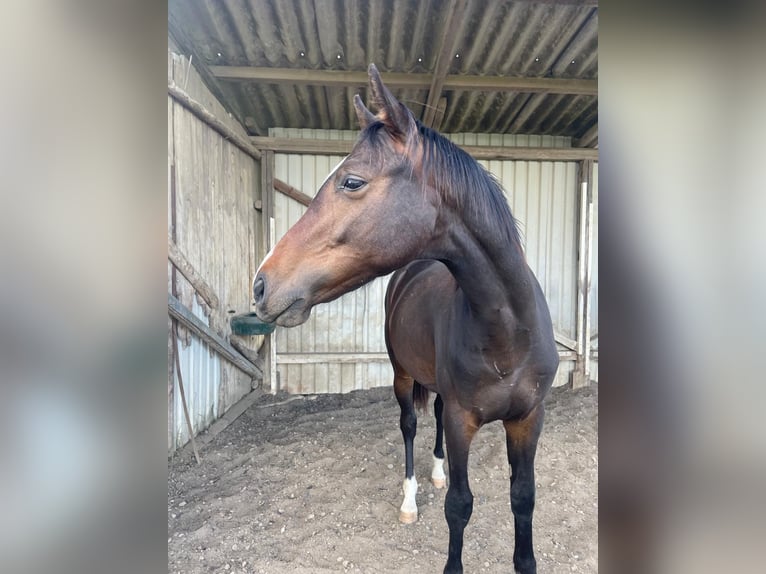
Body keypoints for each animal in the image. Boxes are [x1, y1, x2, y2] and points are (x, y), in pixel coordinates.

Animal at [255, 64, 560, 574]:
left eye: (352, 182)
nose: (261, 284)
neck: (508, 332)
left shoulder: (527, 419)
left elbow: (524, 499)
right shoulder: (462, 419)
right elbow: (460, 505)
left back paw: (434, 474)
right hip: (401, 376)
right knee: (410, 426)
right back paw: (412, 499)